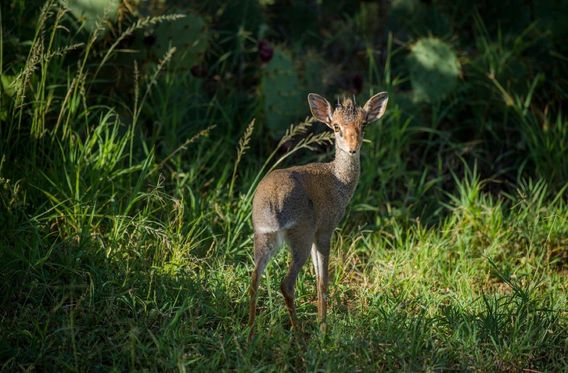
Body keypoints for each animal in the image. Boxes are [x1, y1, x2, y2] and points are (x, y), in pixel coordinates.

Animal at [248, 91, 390, 336]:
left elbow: (317, 278)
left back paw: (248, 334)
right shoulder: (325, 231)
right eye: (336, 126)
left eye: (363, 124)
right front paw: (323, 328)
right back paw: (299, 336)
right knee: (286, 284)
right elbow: (323, 280)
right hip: (300, 239)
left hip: (265, 237)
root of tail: (272, 202)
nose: (353, 148)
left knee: (254, 280)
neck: (338, 180)